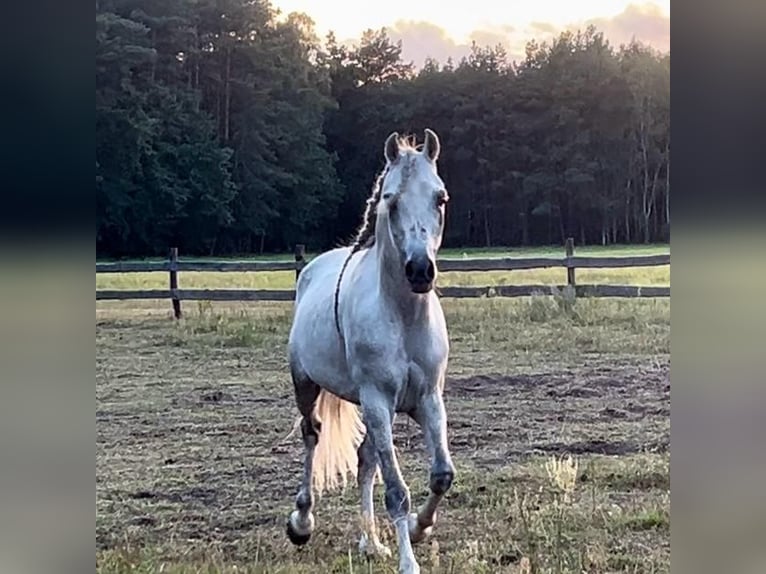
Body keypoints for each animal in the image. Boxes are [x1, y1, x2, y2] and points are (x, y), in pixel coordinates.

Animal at [286, 130, 456, 574]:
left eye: (440, 198)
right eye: (391, 200)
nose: (420, 271)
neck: (402, 316)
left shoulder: (428, 399)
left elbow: (441, 475)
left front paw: (417, 529)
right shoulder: (377, 400)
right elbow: (396, 491)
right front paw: (409, 561)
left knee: (366, 461)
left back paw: (371, 542)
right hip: (306, 385)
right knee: (312, 436)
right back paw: (301, 523)